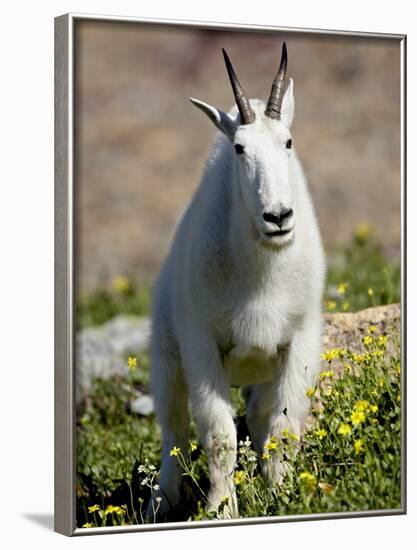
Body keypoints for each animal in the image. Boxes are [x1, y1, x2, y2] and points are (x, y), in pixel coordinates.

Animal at [146, 44, 324, 520]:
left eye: (288, 141)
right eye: (239, 148)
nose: (278, 217)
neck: (262, 271)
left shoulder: (299, 338)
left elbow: (283, 425)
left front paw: (282, 496)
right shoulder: (201, 343)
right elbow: (220, 437)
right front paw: (222, 508)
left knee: (260, 416)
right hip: (166, 355)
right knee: (173, 431)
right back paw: (161, 502)